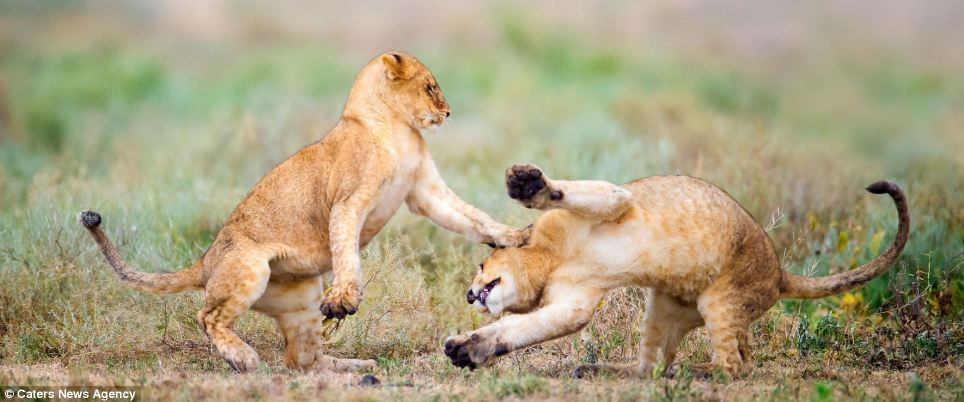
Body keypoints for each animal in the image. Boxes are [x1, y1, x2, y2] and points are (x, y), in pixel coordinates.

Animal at [77, 52, 529, 373]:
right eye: (431, 87)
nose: (448, 113)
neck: (398, 129)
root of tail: (206, 259)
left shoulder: (426, 192)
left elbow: (471, 217)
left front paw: (516, 235)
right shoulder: (348, 202)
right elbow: (347, 252)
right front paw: (346, 296)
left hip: (302, 300)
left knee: (301, 360)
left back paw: (354, 365)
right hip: (248, 269)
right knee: (208, 316)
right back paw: (242, 358)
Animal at [444, 164, 908, 378]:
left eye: (481, 265)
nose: (468, 293)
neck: (551, 261)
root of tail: (779, 274)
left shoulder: (617, 200)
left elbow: (573, 193)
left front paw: (525, 183)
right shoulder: (572, 305)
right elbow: (518, 331)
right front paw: (466, 350)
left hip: (721, 299)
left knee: (735, 365)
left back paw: (692, 371)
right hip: (664, 308)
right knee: (650, 368)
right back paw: (604, 370)